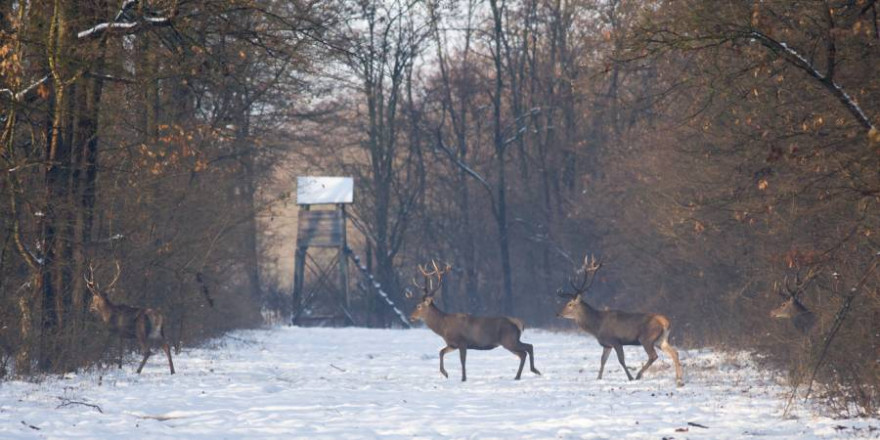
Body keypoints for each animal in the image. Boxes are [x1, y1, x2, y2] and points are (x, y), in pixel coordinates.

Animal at [410, 262, 540, 382]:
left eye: (418, 306)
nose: (411, 317)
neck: (443, 327)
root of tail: (519, 324)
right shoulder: (452, 344)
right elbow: (441, 352)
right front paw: (445, 373)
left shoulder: (462, 342)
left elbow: (462, 360)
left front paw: (463, 378)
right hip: (512, 340)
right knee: (527, 349)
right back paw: (530, 372)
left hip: (509, 340)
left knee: (525, 351)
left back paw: (524, 374)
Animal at [556, 256, 688, 386]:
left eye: (570, 304)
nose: (558, 314)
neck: (596, 325)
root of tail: (665, 322)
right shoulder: (607, 344)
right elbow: (602, 360)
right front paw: (598, 378)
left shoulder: (615, 340)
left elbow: (621, 360)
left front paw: (630, 378)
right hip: (661, 340)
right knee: (674, 353)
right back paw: (679, 380)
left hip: (646, 338)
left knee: (653, 355)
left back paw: (638, 375)